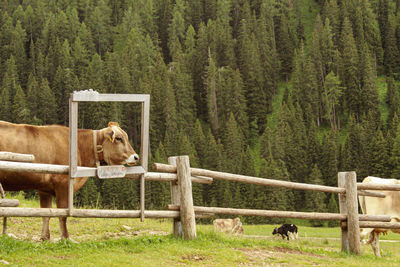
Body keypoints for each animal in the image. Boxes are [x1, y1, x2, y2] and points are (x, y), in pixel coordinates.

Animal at [0, 121, 139, 241]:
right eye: (119, 138)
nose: (136, 157)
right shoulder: (63, 185)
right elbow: (62, 215)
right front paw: (65, 238)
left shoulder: (44, 189)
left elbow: (46, 214)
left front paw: (45, 238)